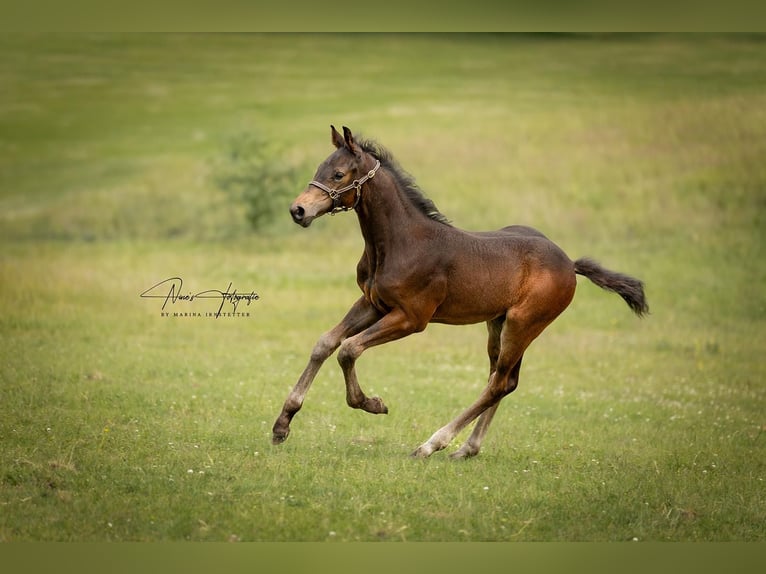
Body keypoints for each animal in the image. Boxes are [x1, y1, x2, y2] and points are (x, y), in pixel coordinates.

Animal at [272, 125, 652, 460]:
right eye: (319, 170)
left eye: (338, 174)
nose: (297, 210)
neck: (400, 242)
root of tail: (569, 264)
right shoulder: (372, 303)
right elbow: (325, 343)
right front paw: (282, 424)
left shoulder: (412, 318)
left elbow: (349, 349)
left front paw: (372, 404)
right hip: (498, 323)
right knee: (504, 379)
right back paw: (467, 448)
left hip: (524, 323)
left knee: (499, 383)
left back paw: (432, 445)